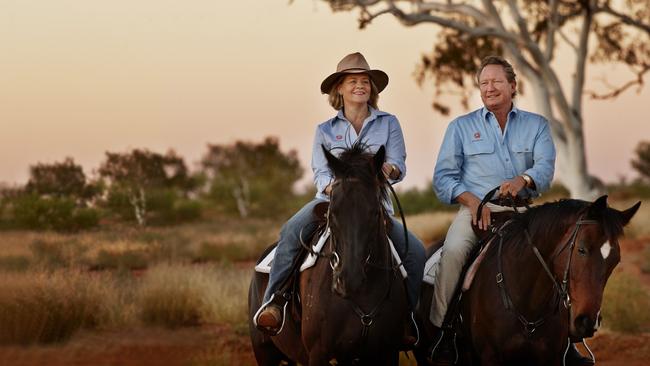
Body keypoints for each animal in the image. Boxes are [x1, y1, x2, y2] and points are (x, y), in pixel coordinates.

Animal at [246, 145, 408, 366]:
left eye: (376, 212)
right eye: (332, 213)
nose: (349, 279)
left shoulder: (387, 352)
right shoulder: (319, 353)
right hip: (265, 352)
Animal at [416, 194, 636, 364]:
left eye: (615, 260)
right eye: (581, 249)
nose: (588, 322)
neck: (528, 303)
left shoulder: (550, 358)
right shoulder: (491, 357)